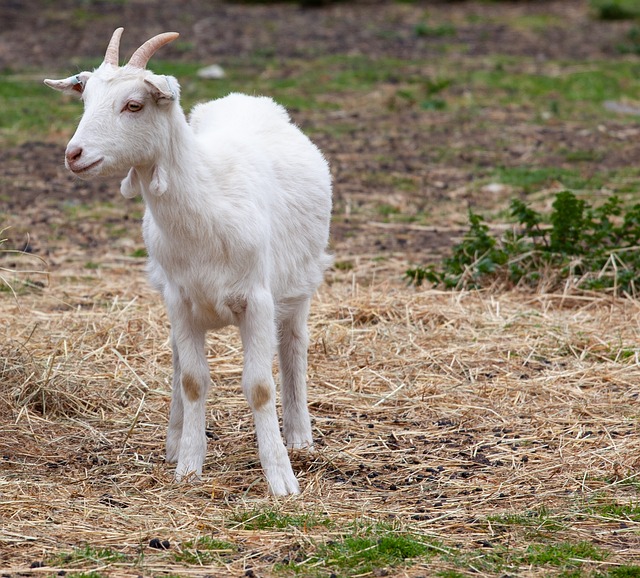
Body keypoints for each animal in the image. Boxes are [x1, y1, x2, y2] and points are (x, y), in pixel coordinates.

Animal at [47, 28, 332, 496]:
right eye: (85, 100)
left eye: (134, 105)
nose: (75, 154)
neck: (207, 198)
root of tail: (246, 98)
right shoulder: (179, 298)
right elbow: (193, 380)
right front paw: (188, 467)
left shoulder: (257, 297)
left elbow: (260, 386)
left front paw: (281, 478)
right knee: (180, 361)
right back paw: (175, 440)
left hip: (300, 282)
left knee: (294, 346)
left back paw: (300, 438)